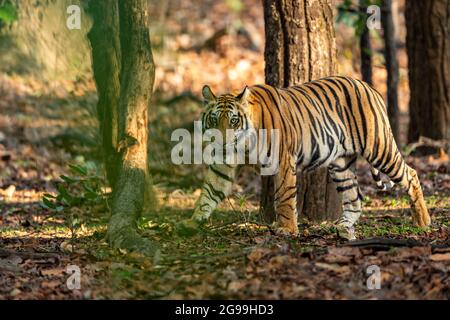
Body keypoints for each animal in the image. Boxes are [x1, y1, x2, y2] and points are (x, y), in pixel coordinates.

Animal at [177, 75, 432, 240]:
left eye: (233, 121)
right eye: (214, 120)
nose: (221, 141)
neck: (243, 145)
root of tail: (369, 86)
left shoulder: (282, 161)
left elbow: (284, 197)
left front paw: (287, 229)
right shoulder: (223, 164)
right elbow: (209, 192)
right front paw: (192, 221)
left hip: (379, 148)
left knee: (410, 173)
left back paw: (422, 220)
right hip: (340, 164)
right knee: (354, 197)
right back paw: (343, 228)